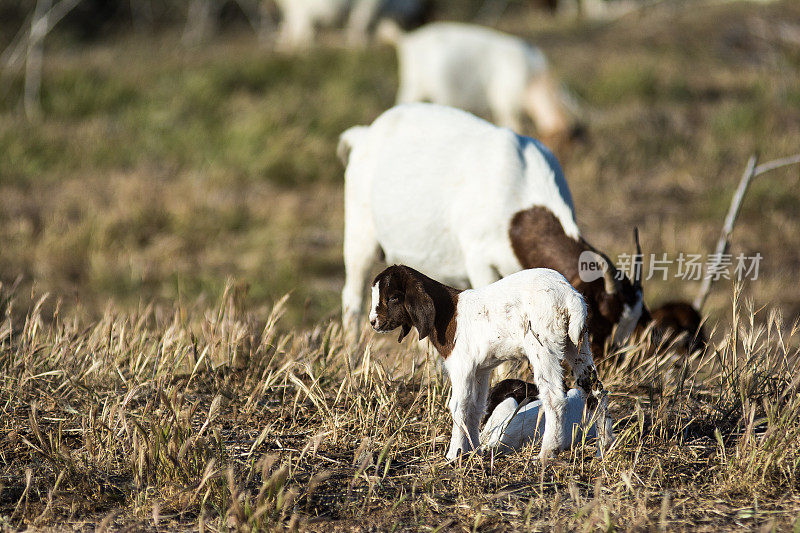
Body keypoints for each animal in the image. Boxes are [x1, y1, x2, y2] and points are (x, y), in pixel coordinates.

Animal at [338, 102, 644, 356]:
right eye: (601, 316)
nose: (608, 362)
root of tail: (366, 135)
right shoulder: (480, 262)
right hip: (360, 231)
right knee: (352, 295)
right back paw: (351, 355)